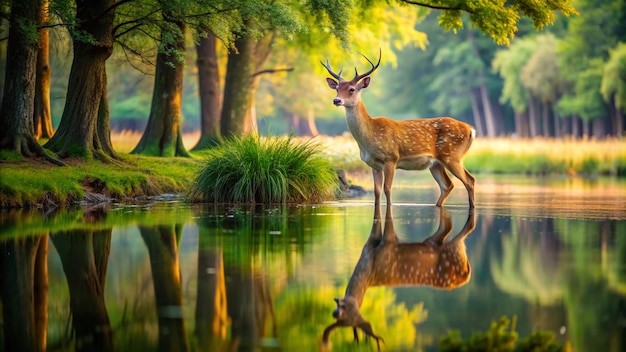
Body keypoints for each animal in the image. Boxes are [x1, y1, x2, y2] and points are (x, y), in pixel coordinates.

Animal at [320, 50, 476, 214]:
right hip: (436, 163)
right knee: (447, 185)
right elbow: (376, 191)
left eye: (352, 89)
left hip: (452, 156)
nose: (336, 100)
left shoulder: (391, 158)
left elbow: (387, 189)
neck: (369, 138)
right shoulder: (374, 165)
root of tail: (470, 129)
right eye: (337, 88)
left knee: (469, 180)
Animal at [322, 206, 472, 350]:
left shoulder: (386, 243)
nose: (334, 313)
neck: (368, 265)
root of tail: (466, 276)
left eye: (346, 308)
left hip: (454, 248)